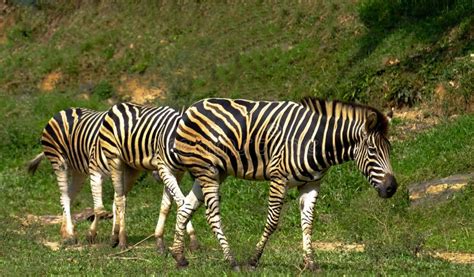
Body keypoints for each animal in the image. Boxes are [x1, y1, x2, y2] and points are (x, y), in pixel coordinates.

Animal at [27, 105, 196, 246]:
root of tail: (63, 111)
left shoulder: (129, 173)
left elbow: (117, 202)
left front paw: (109, 235)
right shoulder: (96, 170)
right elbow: (101, 207)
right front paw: (103, 235)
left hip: (78, 172)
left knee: (70, 196)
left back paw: (65, 232)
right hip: (59, 162)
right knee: (64, 197)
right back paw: (70, 235)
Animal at [168, 97, 398, 270]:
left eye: (389, 149)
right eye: (372, 151)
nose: (392, 188)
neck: (317, 142)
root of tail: (192, 108)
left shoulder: (312, 184)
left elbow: (308, 222)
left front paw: (310, 263)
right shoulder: (279, 179)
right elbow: (272, 221)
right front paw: (254, 260)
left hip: (214, 172)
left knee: (185, 207)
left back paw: (179, 257)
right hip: (207, 171)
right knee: (211, 214)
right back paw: (231, 261)